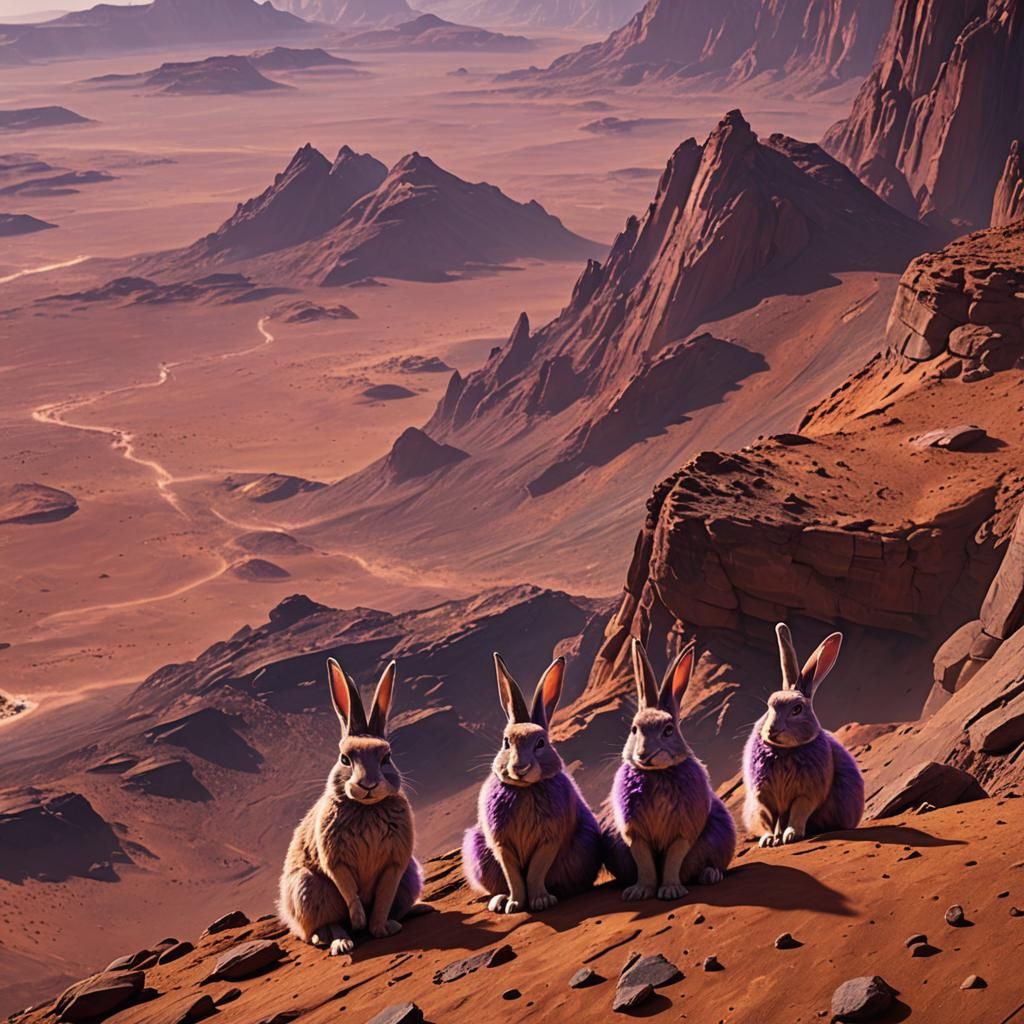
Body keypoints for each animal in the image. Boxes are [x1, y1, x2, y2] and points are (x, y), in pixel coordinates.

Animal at [278, 658, 422, 955]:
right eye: (344, 759)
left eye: (386, 757)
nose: (367, 784)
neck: (366, 808)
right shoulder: (335, 860)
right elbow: (348, 889)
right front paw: (359, 921)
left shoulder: (395, 865)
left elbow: (382, 900)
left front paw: (379, 929)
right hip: (309, 888)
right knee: (328, 924)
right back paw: (339, 942)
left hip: (409, 877)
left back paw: (401, 919)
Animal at [461, 653, 602, 914]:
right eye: (506, 742)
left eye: (541, 743)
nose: (520, 768)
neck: (525, 790)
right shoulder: (501, 844)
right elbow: (514, 877)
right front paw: (515, 904)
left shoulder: (549, 840)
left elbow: (535, 872)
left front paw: (540, 902)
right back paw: (499, 901)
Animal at [601, 638, 736, 901]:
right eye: (634, 729)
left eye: (668, 730)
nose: (643, 755)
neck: (657, 774)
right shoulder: (634, 834)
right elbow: (644, 862)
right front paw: (640, 892)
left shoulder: (684, 831)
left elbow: (674, 858)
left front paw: (671, 891)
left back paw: (710, 875)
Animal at [742, 623, 865, 848]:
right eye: (769, 705)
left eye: (797, 709)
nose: (772, 731)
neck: (784, 751)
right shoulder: (763, 797)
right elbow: (767, 818)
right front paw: (769, 840)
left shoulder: (806, 794)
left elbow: (798, 813)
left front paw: (791, 836)